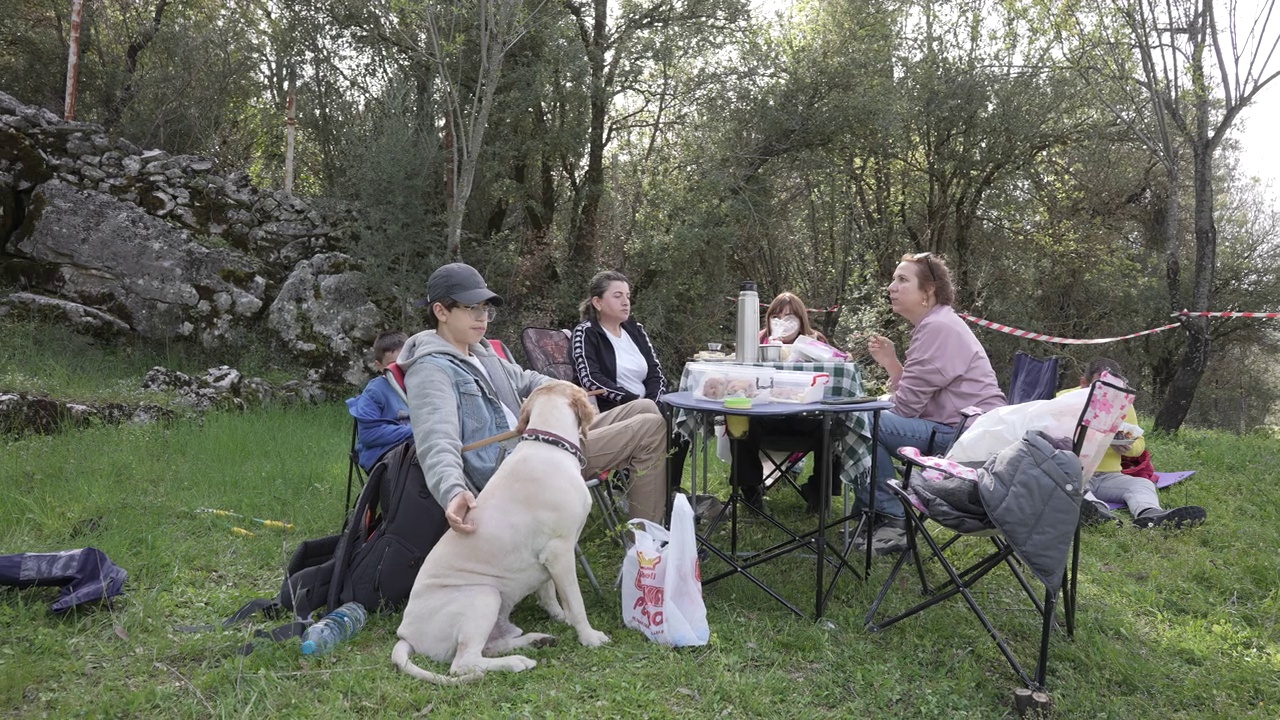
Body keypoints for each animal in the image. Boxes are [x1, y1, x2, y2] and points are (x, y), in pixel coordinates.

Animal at [389, 379, 609, 681]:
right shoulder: (560, 551)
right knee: (463, 664)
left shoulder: (547, 555)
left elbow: (549, 591)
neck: (549, 444)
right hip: (484, 595)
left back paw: (536, 640)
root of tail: (405, 634)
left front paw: (558, 615)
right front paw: (588, 636)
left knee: (490, 647)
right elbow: (575, 603)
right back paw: (517, 662)